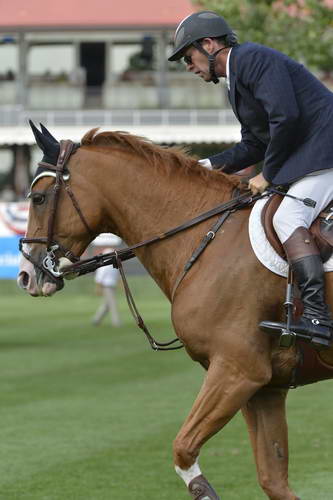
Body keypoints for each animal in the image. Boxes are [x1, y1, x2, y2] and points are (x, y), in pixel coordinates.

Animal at [17, 122, 332, 500]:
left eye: (38, 198)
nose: (26, 275)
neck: (208, 236)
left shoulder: (238, 371)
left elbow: (183, 448)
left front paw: (203, 489)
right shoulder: (264, 388)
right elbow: (274, 481)